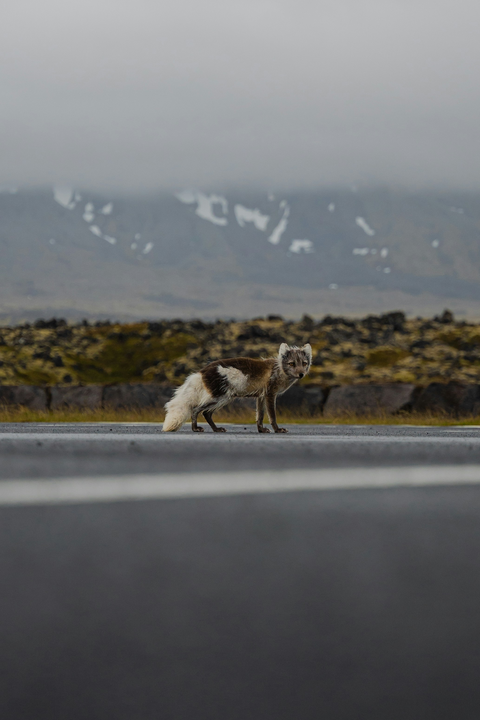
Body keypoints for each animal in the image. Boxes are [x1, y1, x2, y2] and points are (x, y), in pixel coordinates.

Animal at [163, 344, 314, 434]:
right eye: (292, 364)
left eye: (304, 363)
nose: (301, 374)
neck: (280, 370)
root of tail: (202, 371)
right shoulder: (270, 394)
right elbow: (272, 416)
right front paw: (277, 429)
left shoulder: (261, 396)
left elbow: (259, 416)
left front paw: (261, 430)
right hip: (220, 397)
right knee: (196, 409)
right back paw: (195, 429)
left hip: (223, 399)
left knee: (206, 413)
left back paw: (216, 429)